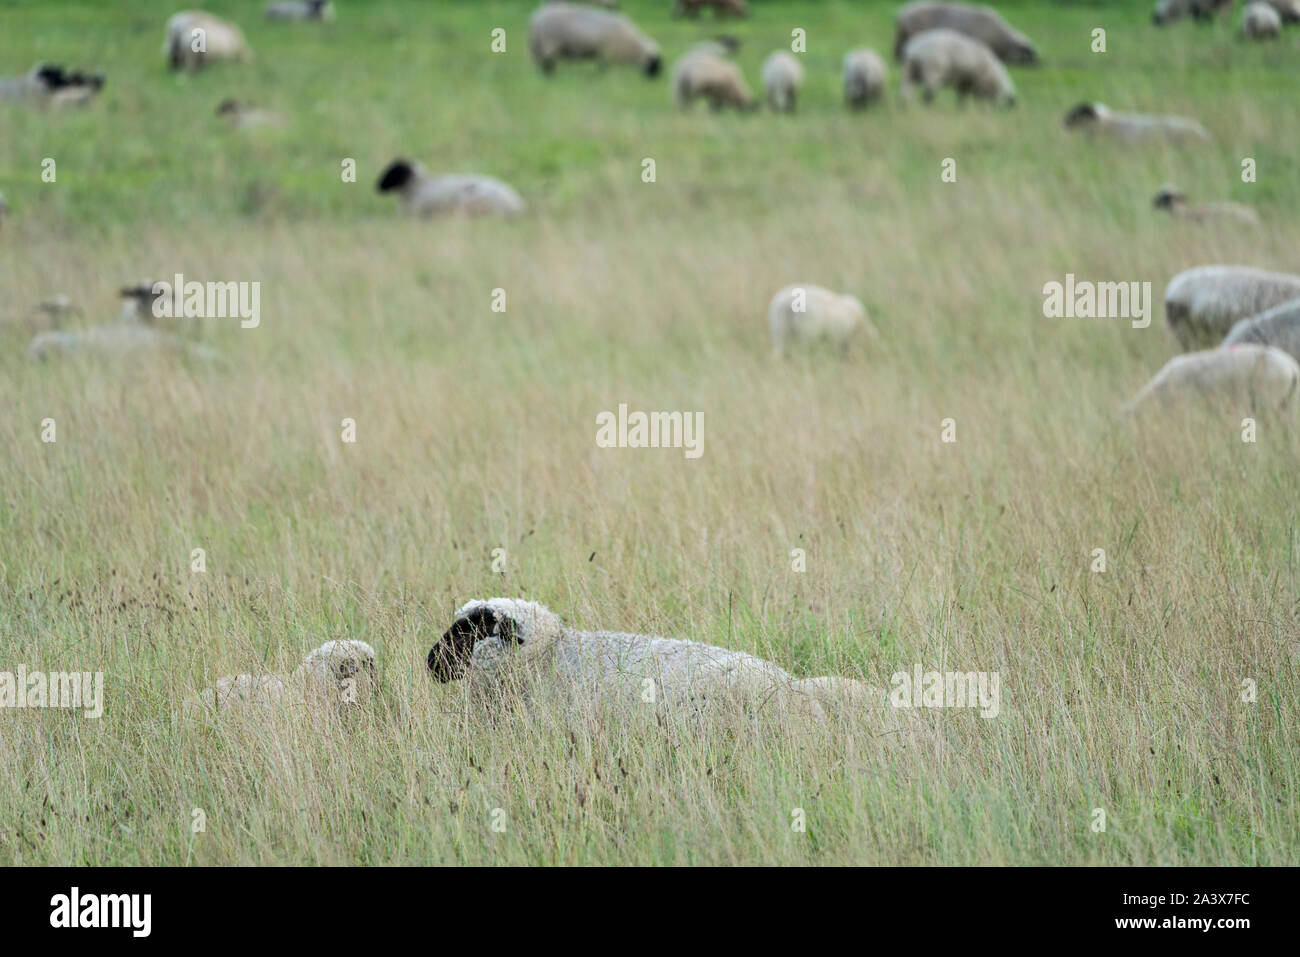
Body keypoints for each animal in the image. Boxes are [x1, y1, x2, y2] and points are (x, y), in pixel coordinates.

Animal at [528, 3, 662, 77]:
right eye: (655, 62)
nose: (656, 80)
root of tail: (535, 20)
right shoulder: (607, 53)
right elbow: (603, 67)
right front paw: (601, 76)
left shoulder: (602, 53)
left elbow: (601, 66)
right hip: (549, 43)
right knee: (548, 63)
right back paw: (551, 77)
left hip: (539, 45)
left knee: (540, 62)